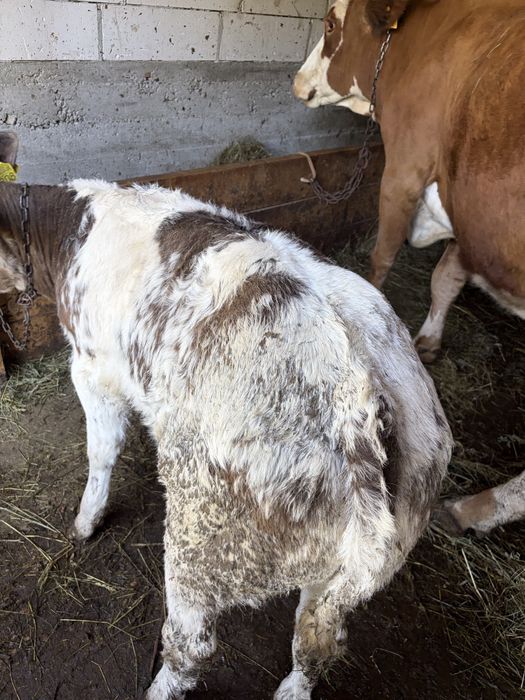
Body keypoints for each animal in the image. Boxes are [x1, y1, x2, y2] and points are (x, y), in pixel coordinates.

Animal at [0, 143, 452, 698]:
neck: (69, 229)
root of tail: (363, 400)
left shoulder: (92, 367)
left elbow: (102, 452)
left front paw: (86, 522)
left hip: (201, 537)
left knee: (192, 644)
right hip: (337, 569)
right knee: (314, 643)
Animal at [293, 0, 525, 537]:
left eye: (330, 22)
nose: (296, 81)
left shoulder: (403, 170)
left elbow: (380, 260)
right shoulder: (467, 213)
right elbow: (446, 278)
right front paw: (429, 342)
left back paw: (478, 506)